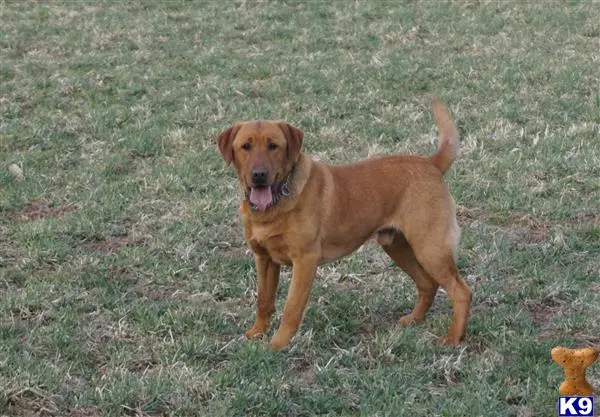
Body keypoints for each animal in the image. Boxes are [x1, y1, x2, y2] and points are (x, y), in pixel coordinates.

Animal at [216, 100, 471, 350]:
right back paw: (414, 319)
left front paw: (277, 345)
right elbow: (264, 301)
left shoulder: (305, 260)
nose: (259, 175)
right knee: (427, 284)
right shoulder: (264, 259)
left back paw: (453, 338)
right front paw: (257, 333)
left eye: (273, 146)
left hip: (431, 249)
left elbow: (291, 309)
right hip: (398, 247)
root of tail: (431, 164)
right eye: (245, 147)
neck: (275, 205)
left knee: (461, 292)